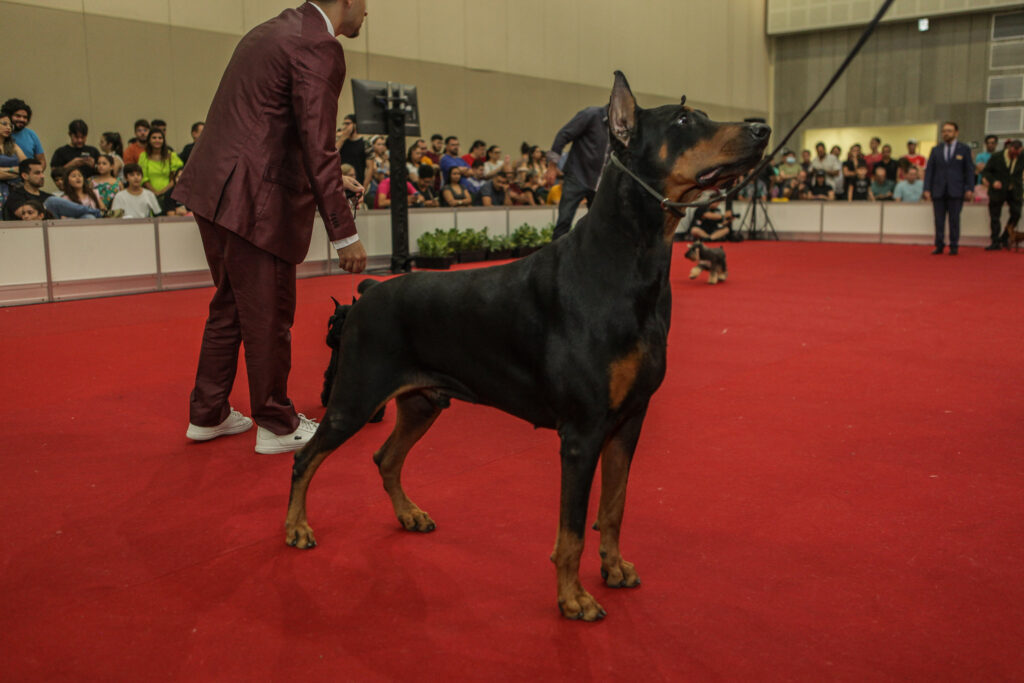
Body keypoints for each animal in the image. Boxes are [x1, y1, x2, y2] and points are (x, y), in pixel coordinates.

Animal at [288, 72, 770, 622]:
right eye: (686, 120)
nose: (762, 129)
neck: (629, 260)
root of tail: (369, 290)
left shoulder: (630, 420)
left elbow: (614, 506)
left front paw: (614, 568)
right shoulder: (582, 432)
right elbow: (572, 528)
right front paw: (573, 598)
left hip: (423, 401)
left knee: (386, 458)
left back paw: (409, 514)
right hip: (354, 398)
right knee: (306, 461)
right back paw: (297, 527)